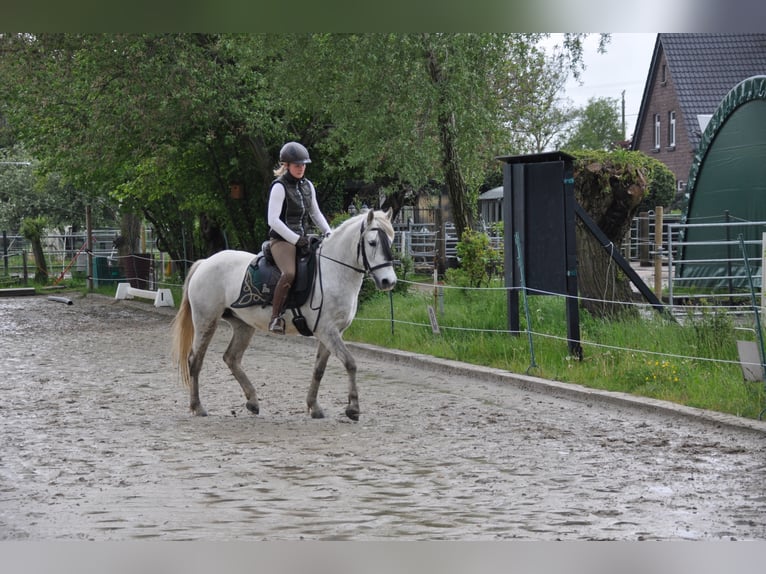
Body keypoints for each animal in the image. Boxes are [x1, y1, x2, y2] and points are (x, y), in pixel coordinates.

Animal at [170, 208, 397, 421]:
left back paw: (253, 402)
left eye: (391, 241)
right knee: (195, 360)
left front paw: (314, 407)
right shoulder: (327, 331)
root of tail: (205, 262)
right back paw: (198, 407)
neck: (333, 271)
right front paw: (353, 409)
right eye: (372, 242)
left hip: (243, 325)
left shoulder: (332, 333)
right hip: (206, 321)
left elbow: (319, 369)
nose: (389, 281)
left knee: (231, 358)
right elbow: (350, 363)